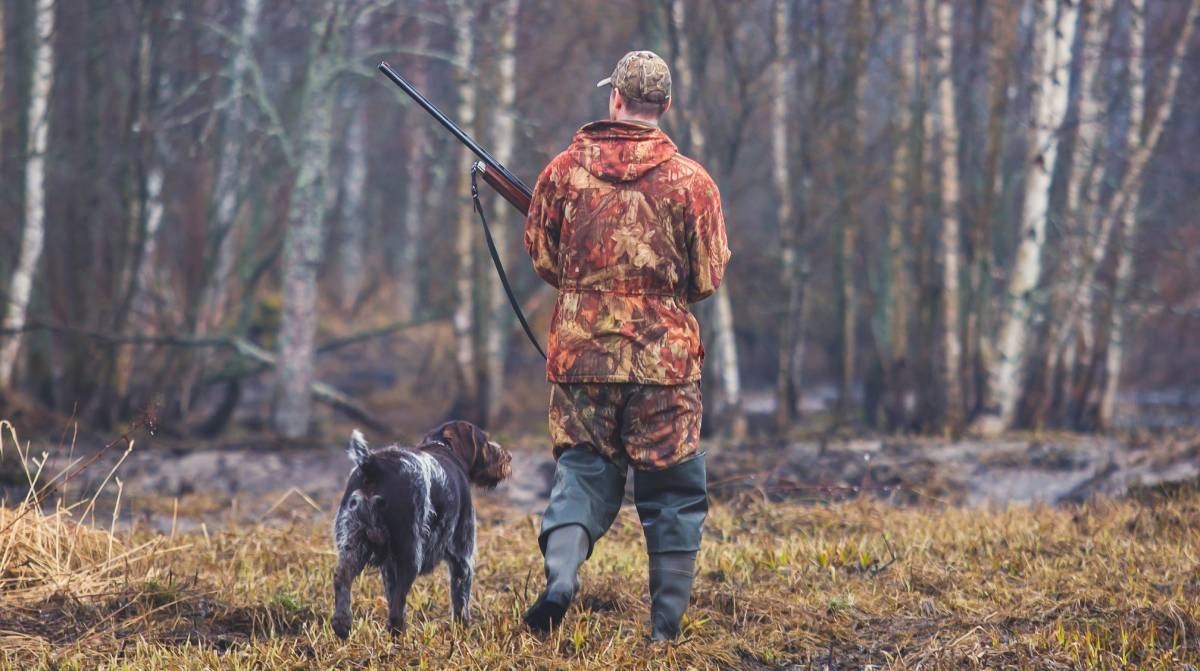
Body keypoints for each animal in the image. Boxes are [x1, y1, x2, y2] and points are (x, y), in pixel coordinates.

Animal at [331, 422, 513, 638]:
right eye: (485, 440)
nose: (508, 456)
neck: (445, 448)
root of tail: (373, 465)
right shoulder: (462, 558)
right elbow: (461, 605)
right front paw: (463, 633)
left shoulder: (388, 567)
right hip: (410, 556)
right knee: (397, 607)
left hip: (353, 545)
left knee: (342, 578)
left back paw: (342, 624)